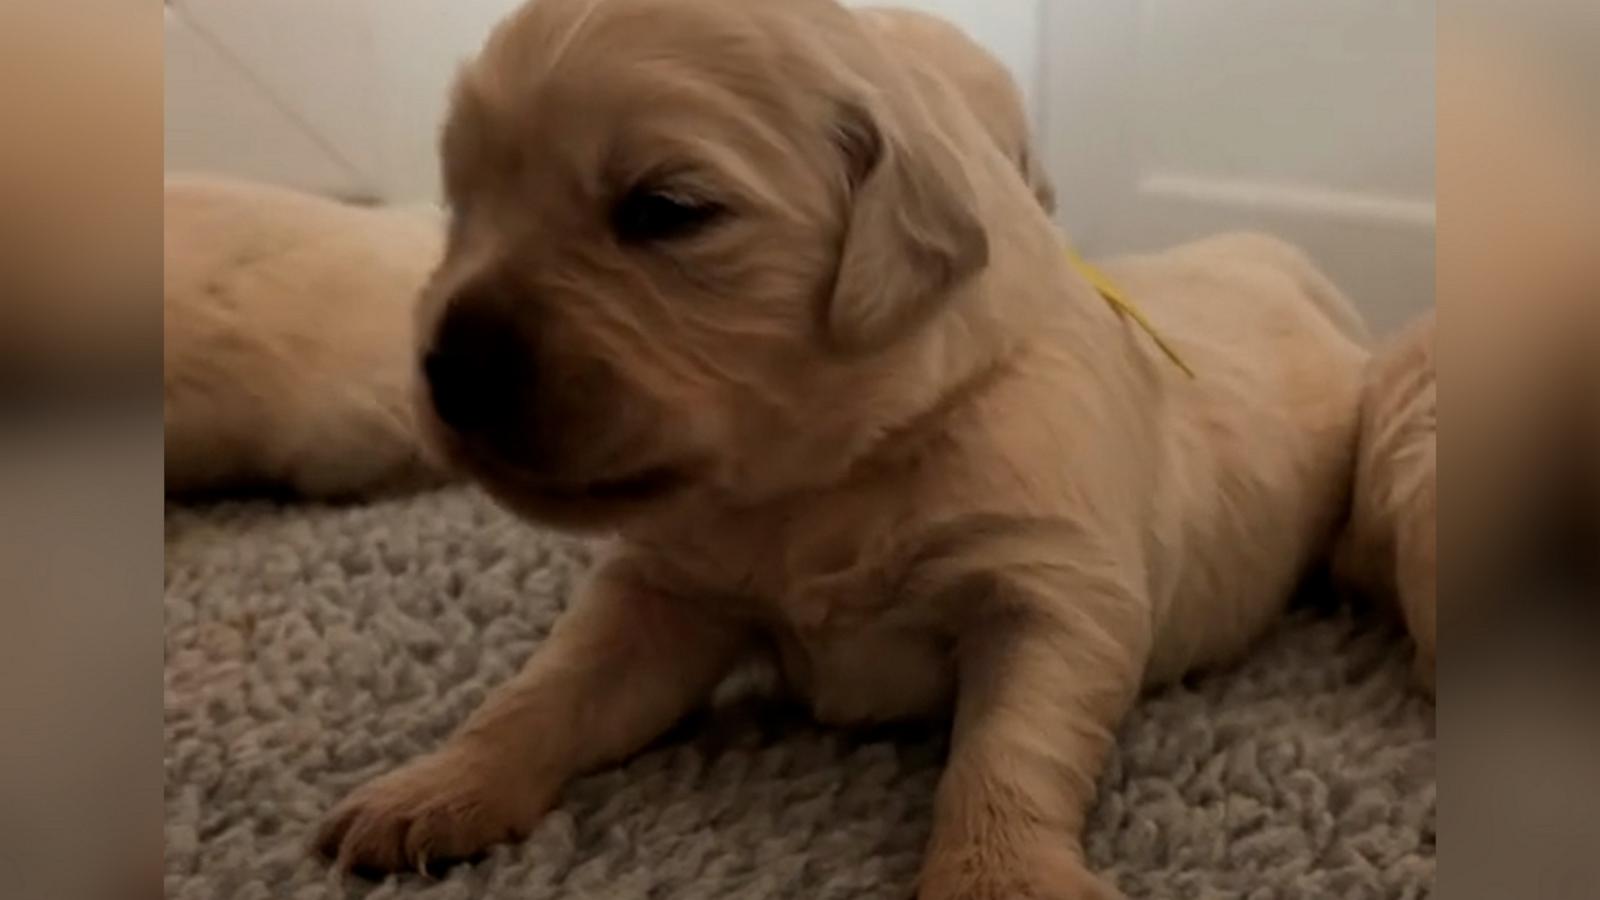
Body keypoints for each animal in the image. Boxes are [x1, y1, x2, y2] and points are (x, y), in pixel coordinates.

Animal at [318, 3, 1369, 890]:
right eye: (459, 204)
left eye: (666, 210)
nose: (448, 368)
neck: (826, 479)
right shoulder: (665, 589)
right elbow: (549, 687)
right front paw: (432, 789)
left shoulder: (1054, 584)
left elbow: (1013, 745)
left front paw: (998, 876)